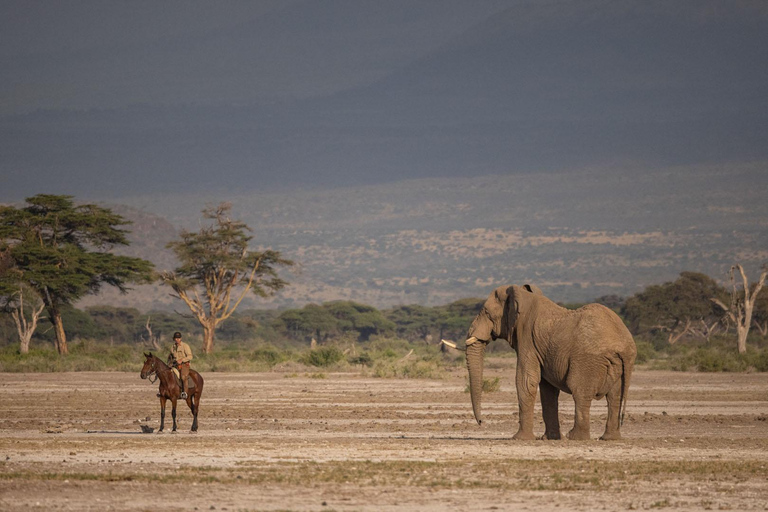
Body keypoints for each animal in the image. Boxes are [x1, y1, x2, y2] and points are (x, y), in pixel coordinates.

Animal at [468, 284, 636, 440]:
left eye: (487, 313)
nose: (481, 422)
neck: (522, 295)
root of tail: (625, 347)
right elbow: (548, 389)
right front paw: (550, 438)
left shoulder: (527, 338)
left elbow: (526, 381)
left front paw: (520, 438)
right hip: (617, 365)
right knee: (615, 396)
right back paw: (609, 438)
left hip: (588, 361)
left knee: (581, 392)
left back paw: (575, 437)